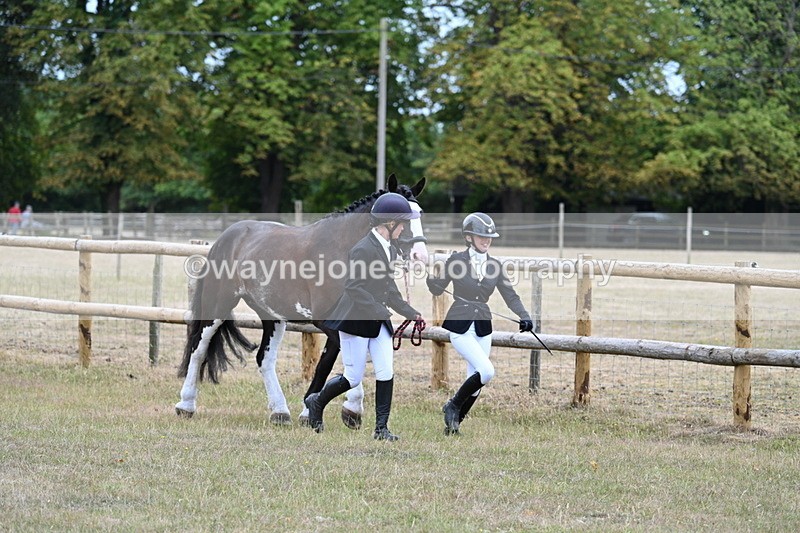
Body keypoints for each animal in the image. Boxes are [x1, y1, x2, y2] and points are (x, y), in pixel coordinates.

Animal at [175, 174, 428, 426]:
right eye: (402, 216)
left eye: (420, 213)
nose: (420, 256)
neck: (345, 250)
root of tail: (226, 238)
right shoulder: (327, 322)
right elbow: (345, 363)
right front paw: (345, 408)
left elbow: (333, 363)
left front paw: (316, 410)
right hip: (218, 305)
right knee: (198, 349)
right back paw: (185, 404)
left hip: (273, 316)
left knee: (264, 359)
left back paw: (279, 412)